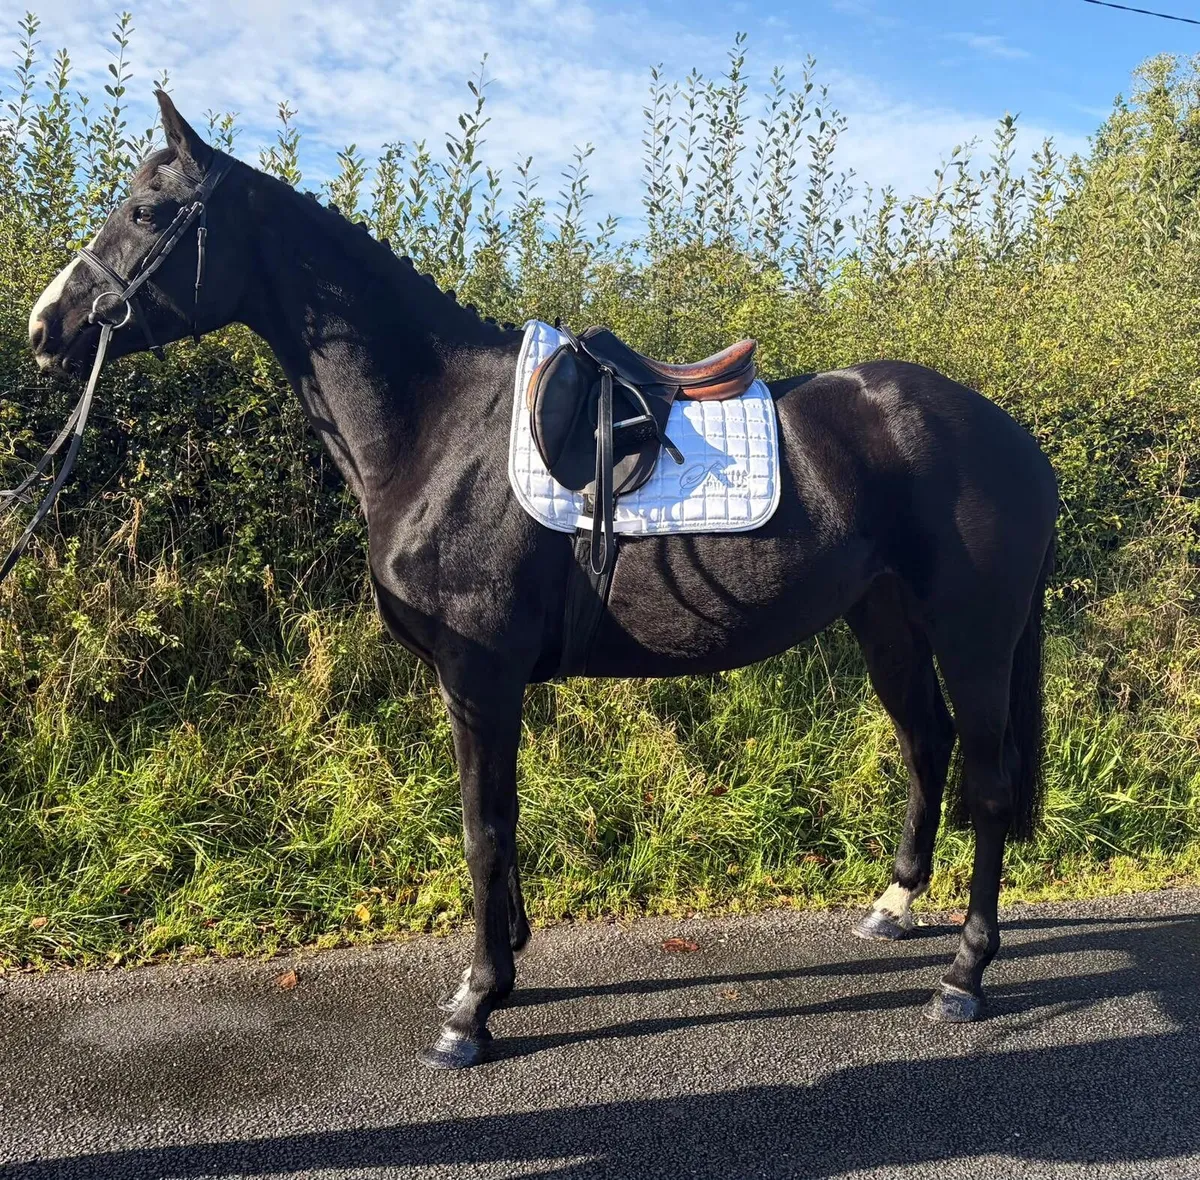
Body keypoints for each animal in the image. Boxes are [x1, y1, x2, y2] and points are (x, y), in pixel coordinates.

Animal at [25, 93, 1058, 1070]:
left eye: (149, 211)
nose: (46, 326)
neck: (440, 426)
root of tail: (1017, 441)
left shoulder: (479, 677)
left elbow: (482, 828)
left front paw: (474, 1008)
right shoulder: (486, 684)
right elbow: (505, 818)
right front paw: (509, 964)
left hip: (974, 637)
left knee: (987, 782)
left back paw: (965, 974)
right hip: (884, 622)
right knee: (926, 744)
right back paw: (892, 907)